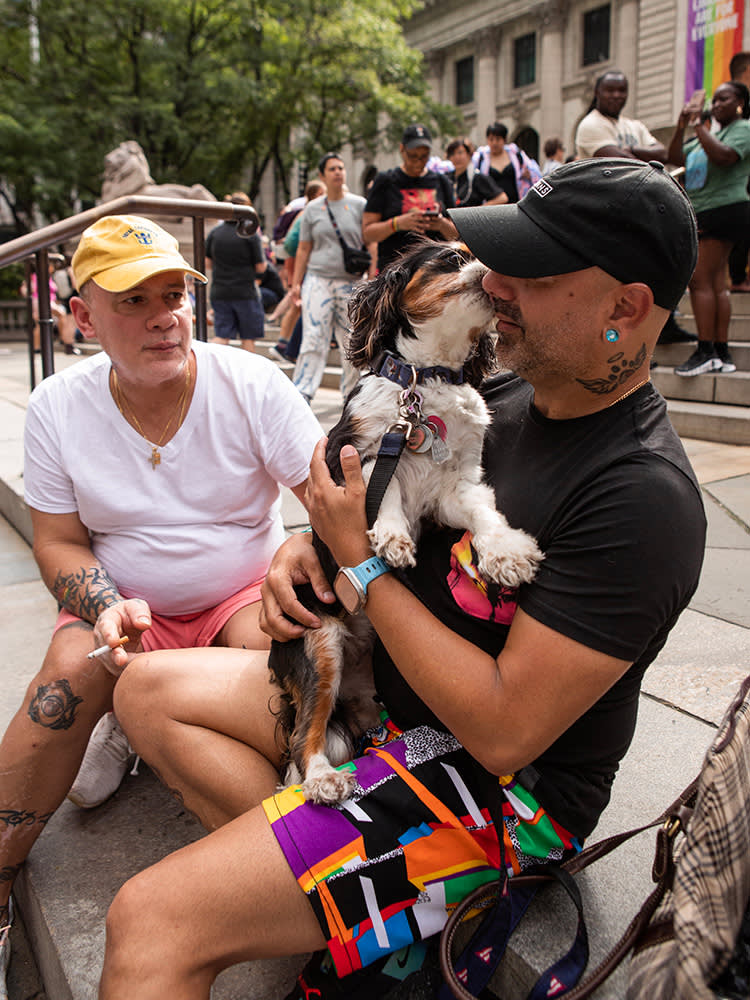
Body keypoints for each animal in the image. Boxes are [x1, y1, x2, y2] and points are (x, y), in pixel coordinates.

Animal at [270, 238, 548, 808]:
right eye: (453, 259)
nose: (494, 275)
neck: (426, 382)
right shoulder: (358, 457)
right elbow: (388, 490)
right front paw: (393, 537)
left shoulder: (456, 486)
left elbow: (484, 512)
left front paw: (505, 552)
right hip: (318, 643)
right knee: (305, 732)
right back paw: (322, 778)